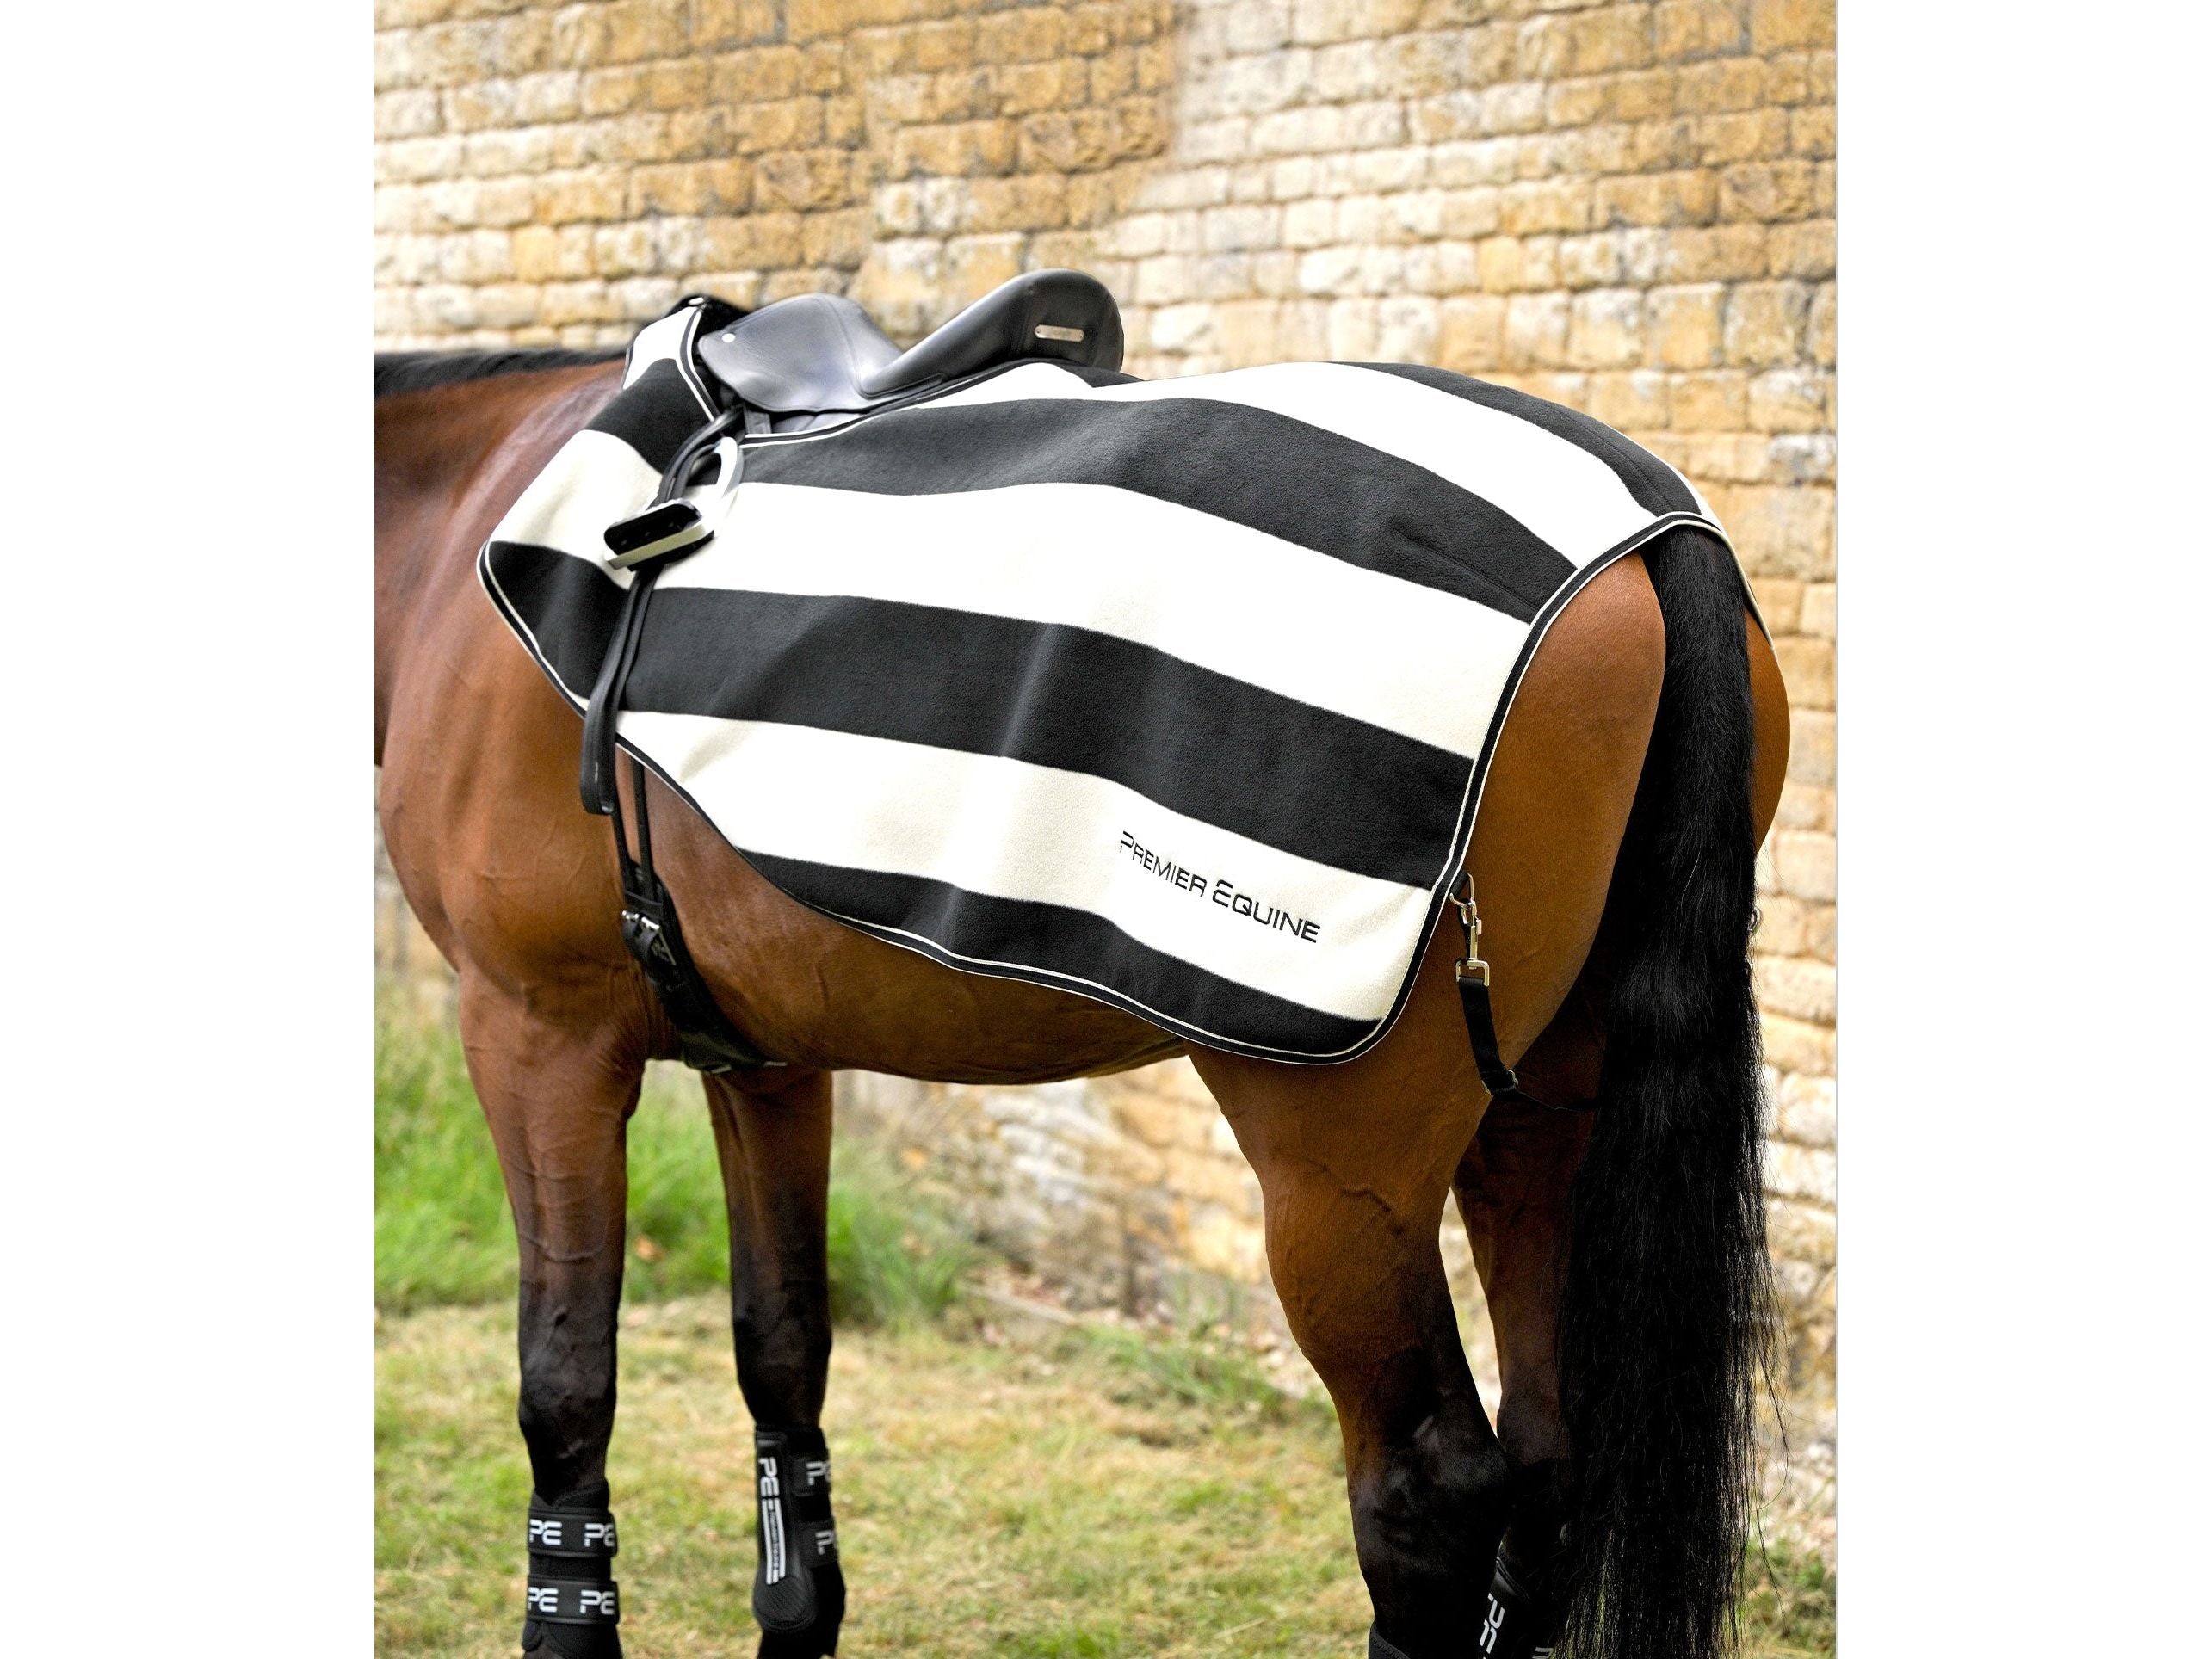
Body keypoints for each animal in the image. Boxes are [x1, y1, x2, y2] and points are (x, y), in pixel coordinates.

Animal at [375, 330, 1791, 1659]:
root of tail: (1649, 536)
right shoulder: (765, 1060)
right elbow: (781, 1345)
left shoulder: (536, 1035)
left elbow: (565, 1380)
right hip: (1538, 1119)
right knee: (1551, 1451)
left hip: (1342, 1166)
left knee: (1428, 1490)